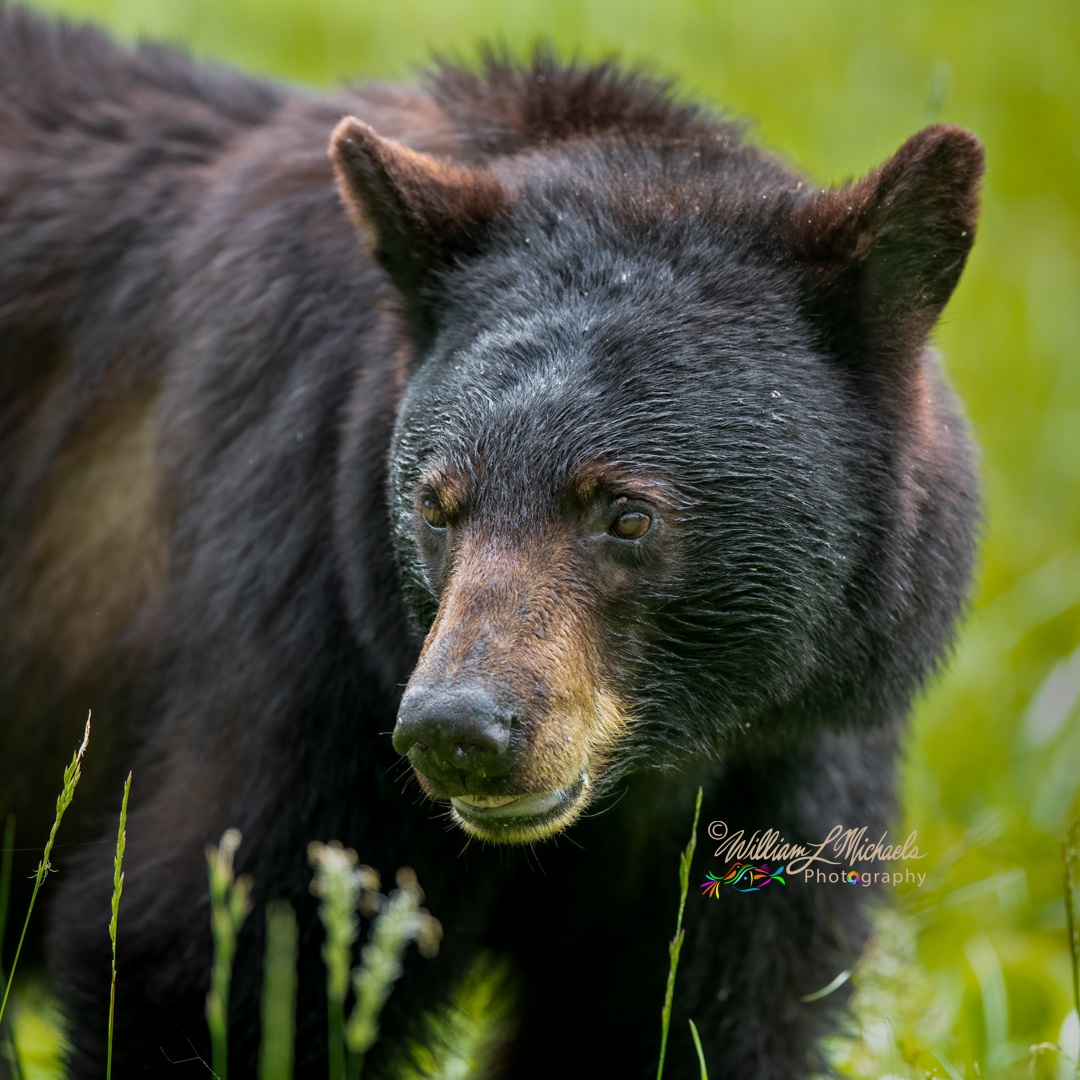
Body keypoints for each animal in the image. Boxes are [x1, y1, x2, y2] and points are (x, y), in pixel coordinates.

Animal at [0, 8, 984, 1080]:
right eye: (435, 506)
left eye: (627, 514)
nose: (458, 729)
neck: (651, 769)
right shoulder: (305, 646)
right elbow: (215, 952)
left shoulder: (781, 762)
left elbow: (693, 1018)